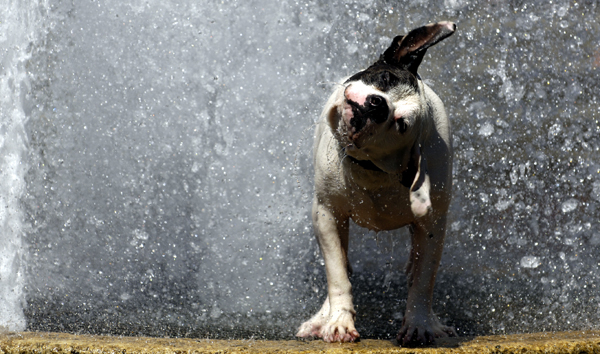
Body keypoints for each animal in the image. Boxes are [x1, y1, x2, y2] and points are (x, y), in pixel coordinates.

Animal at [298, 21, 458, 346]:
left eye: (402, 124)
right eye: (384, 78)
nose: (376, 104)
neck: (371, 170)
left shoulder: (432, 224)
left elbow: (424, 278)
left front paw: (420, 324)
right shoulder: (327, 214)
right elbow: (338, 275)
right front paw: (339, 321)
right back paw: (322, 318)